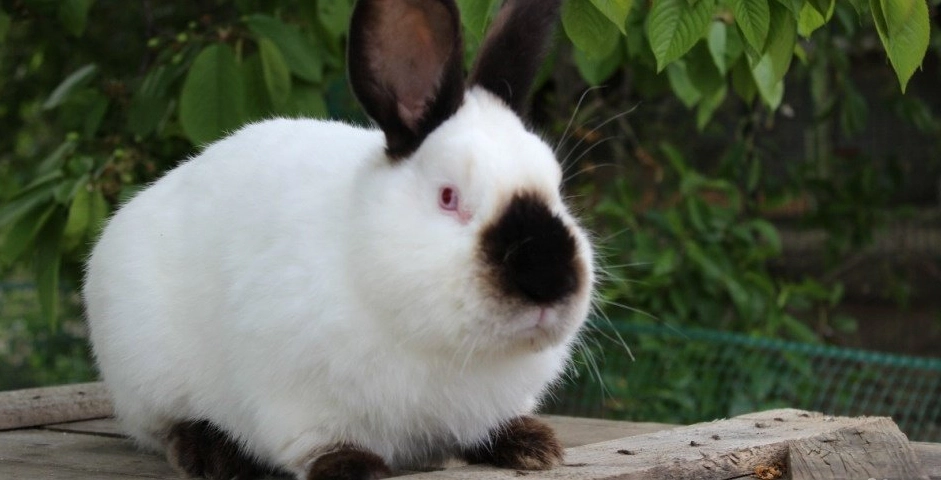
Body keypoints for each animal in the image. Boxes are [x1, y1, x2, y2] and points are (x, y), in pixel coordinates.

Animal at [83, 0, 595, 479]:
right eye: (448, 197)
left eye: (557, 187)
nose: (548, 283)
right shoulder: (293, 398)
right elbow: (316, 442)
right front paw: (352, 467)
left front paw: (532, 444)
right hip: (145, 374)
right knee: (164, 426)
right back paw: (209, 452)